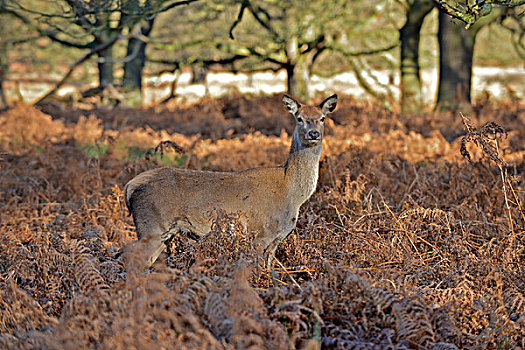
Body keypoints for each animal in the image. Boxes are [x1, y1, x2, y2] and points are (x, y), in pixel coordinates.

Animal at [124, 93, 336, 268]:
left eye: (322, 118)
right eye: (299, 118)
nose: (313, 134)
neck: (293, 195)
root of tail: (130, 186)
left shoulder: (276, 239)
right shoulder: (260, 233)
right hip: (151, 228)